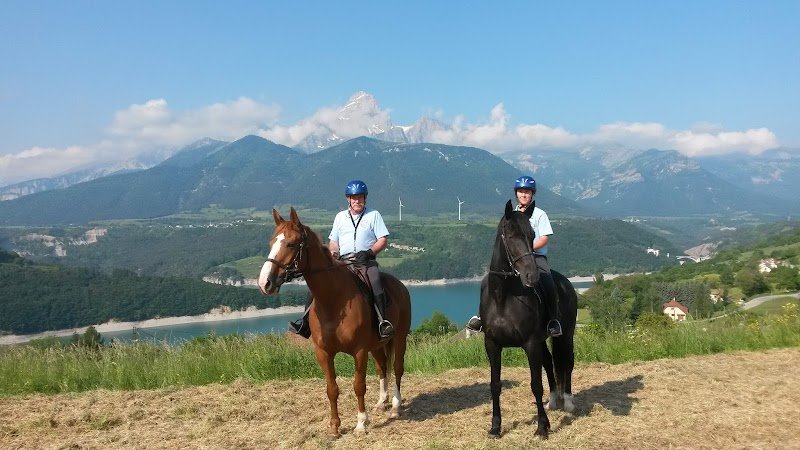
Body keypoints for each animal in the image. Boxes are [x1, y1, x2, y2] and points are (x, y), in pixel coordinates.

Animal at [257, 207, 412, 436]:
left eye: (291, 244)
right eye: (271, 242)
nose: (264, 283)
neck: (334, 301)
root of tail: (400, 285)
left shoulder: (359, 351)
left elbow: (359, 385)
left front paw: (361, 423)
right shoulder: (323, 352)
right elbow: (332, 389)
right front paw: (334, 426)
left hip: (399, 338)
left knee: (398, 368)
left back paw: (395, 406)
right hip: (376, 345)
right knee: (383, 367)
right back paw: (381, 402)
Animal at [479, 200, 578, 439]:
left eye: (533, 234)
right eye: (510, 234)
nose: (532, 277)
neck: (503, 297)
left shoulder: (530, 343)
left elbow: (536, 385)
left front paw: (542, 427)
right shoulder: (492, 344)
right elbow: (495, 385)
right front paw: (495, 427)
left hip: (565, 334)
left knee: (567, 361)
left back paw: (568, 401)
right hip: (543, 340)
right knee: (550, 362)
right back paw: (554, 400)